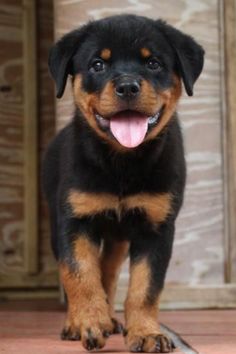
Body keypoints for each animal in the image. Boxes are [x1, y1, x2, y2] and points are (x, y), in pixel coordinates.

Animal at [42, 13, 205, 352]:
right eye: (97, 65)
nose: (128, 86)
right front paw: (88, 323)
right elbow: (79, 274)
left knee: (108, 269)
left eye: (153, 63)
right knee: (76, 271)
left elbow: (146, 288)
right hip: (56, 224)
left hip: (118, 237)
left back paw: (110, 316)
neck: (122, 162)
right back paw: (79, 321)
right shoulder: (74, 221)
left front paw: (146, 332)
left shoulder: (157, 226)